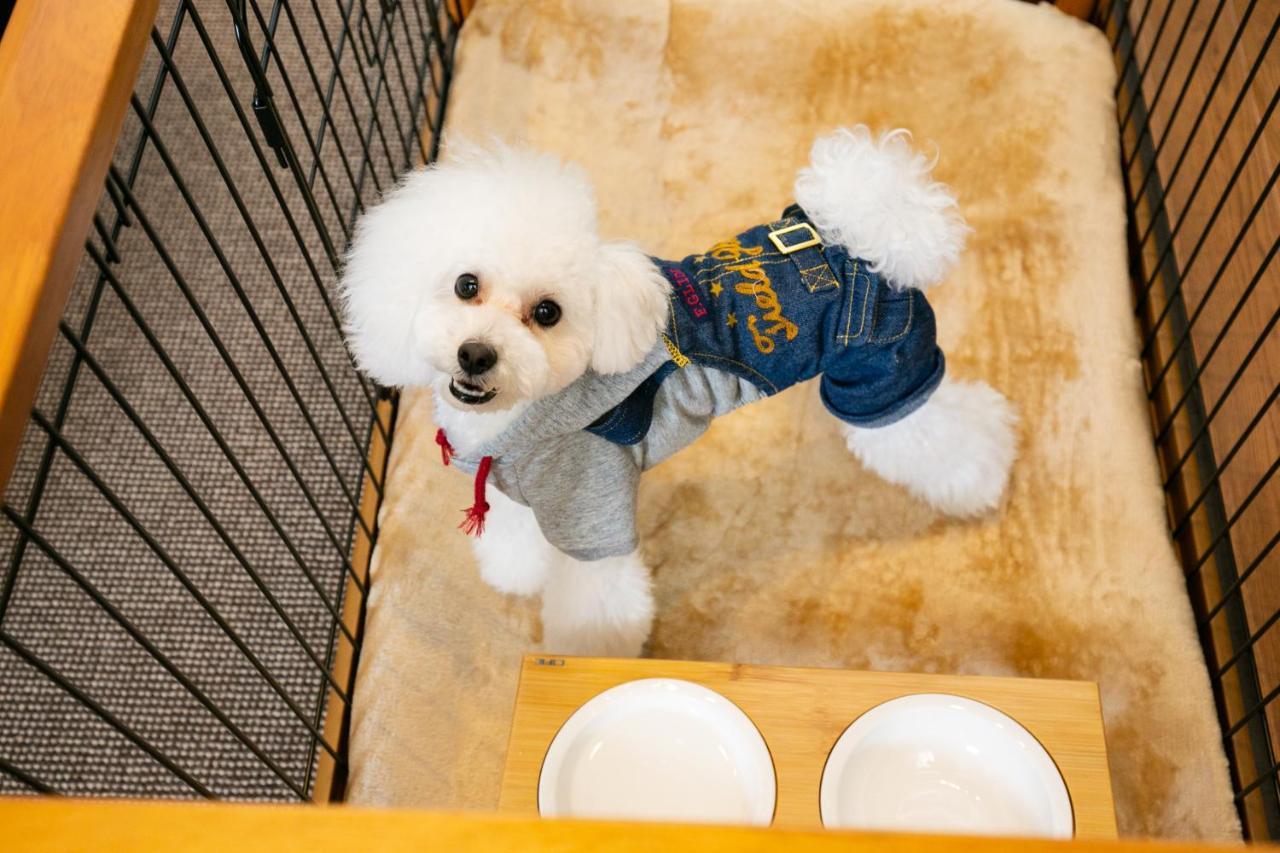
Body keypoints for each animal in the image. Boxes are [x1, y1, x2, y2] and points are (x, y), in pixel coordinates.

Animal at [343, 128, 1018, 655]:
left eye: (547, 313)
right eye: (466, 285)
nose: (476, 354)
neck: (519, 425)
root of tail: (862, 238)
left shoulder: (595, 512)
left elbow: (598, 602)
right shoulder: (515, 483)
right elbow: (517, 536)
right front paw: (517, 573)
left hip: (879, 375)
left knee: (945, 435)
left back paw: (983, 482)